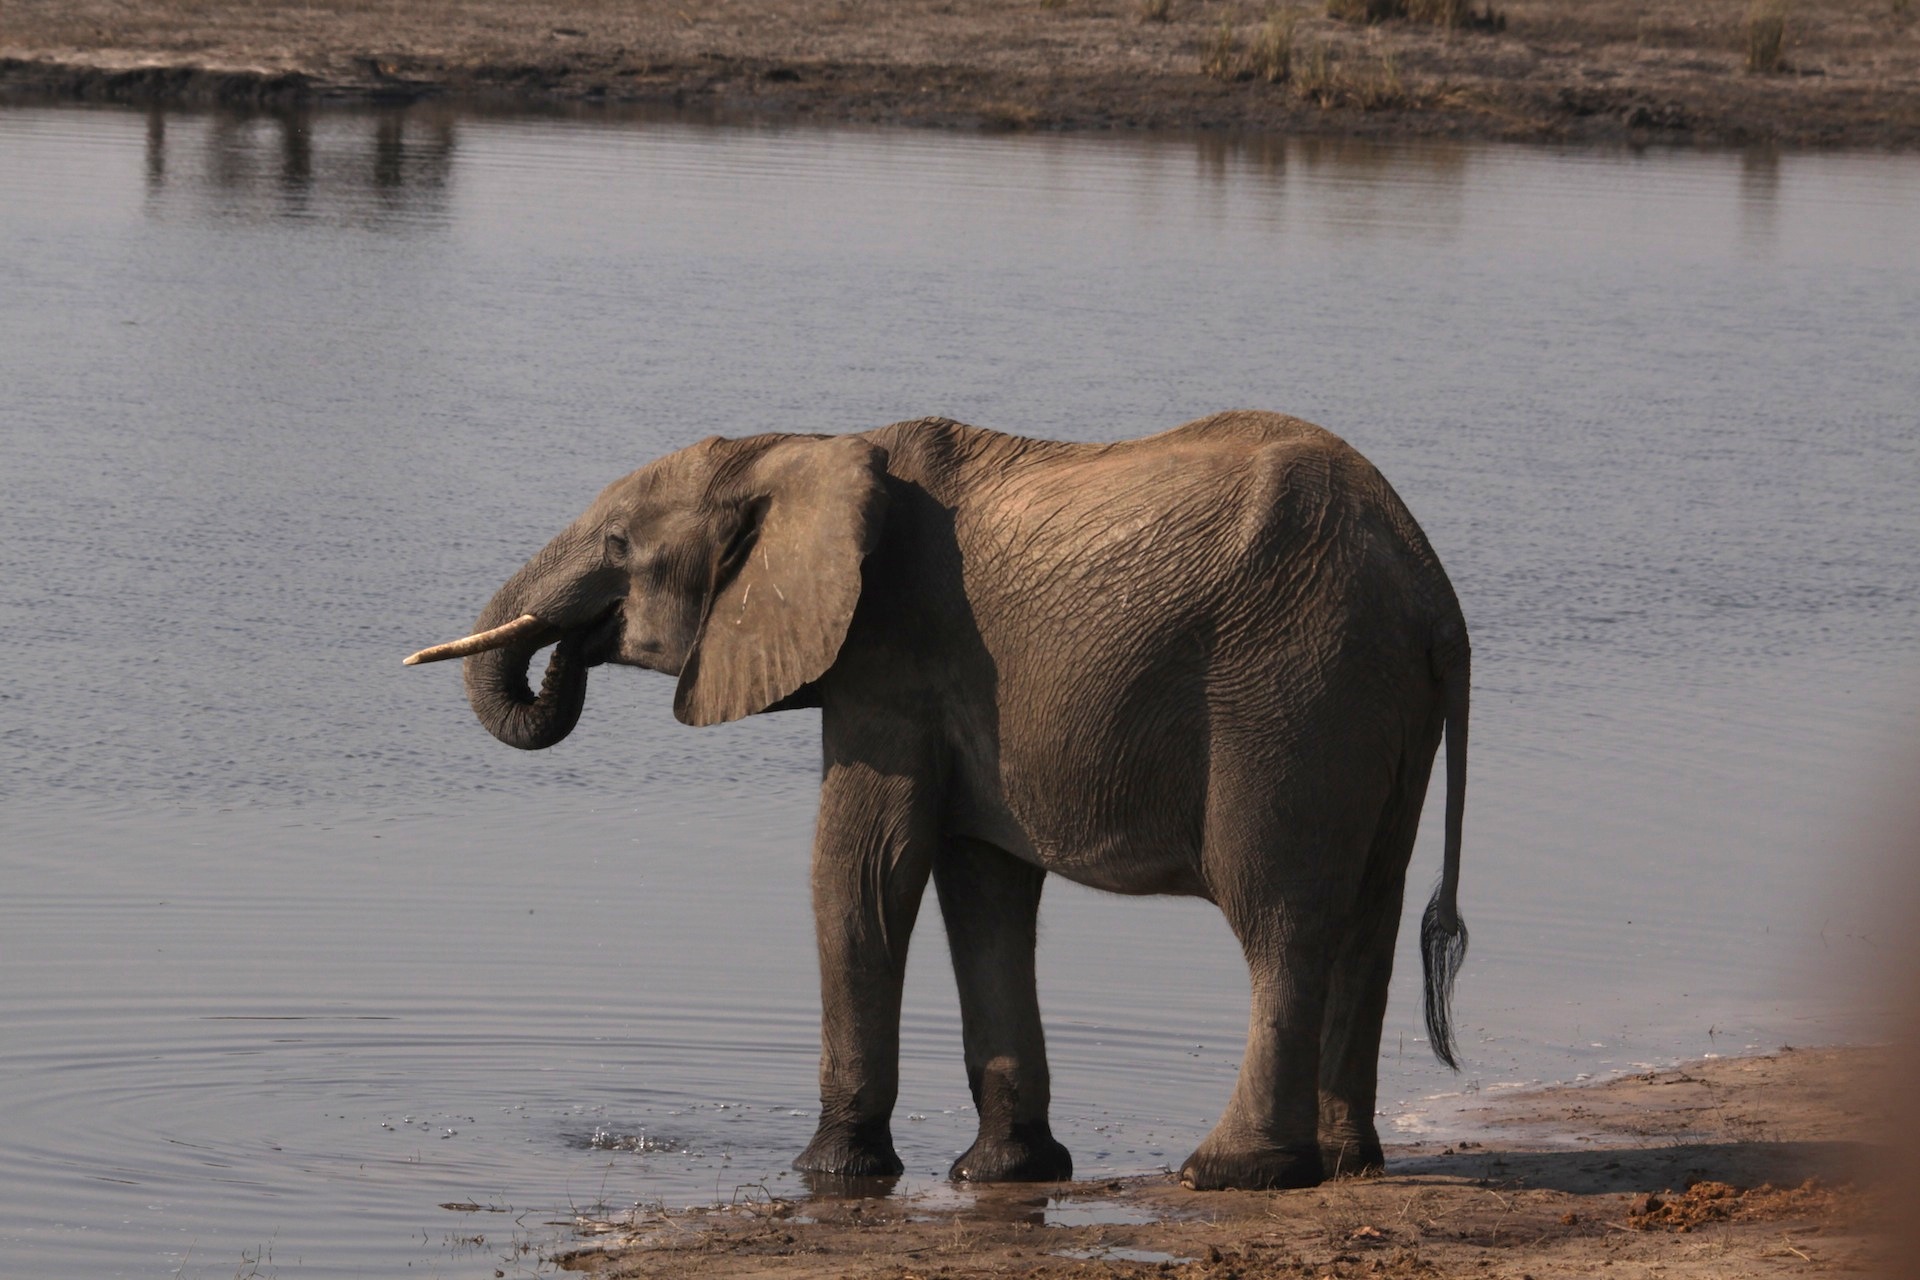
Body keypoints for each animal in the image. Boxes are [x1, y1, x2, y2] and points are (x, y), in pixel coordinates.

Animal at [405, 408, 1466, 1189]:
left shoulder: (888, 657)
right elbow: (983, 890)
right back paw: (1347, 1164)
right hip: (1368, 704)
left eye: (622, 544)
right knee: (1367, 913)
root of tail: (1431, 588)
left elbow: (861, 869)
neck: (803, 448)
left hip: (1290, 693)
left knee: (1280, 918)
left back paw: (1233, 1171)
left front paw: (833, 1172)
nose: (567, 651)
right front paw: (1000, 1174)